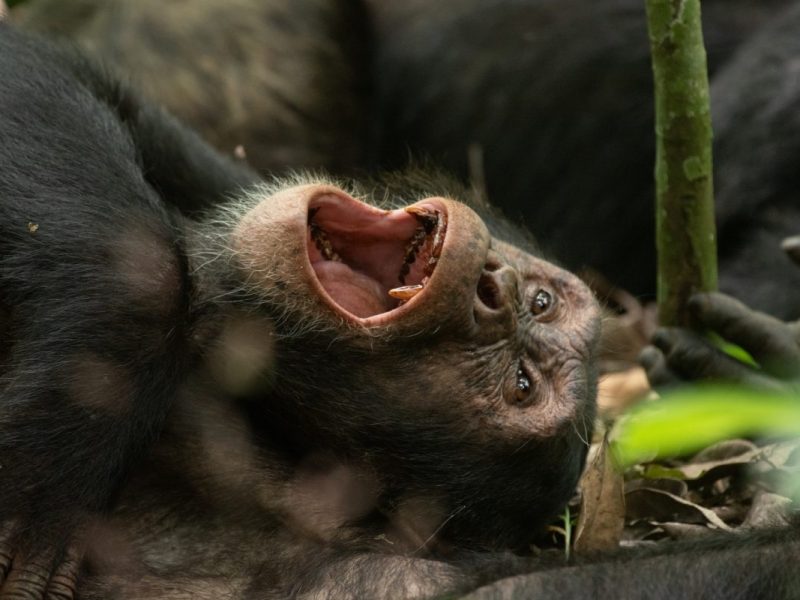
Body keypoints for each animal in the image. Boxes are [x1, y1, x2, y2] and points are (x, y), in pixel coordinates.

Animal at [1, 16, 800, 600]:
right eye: (542, 303)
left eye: (519, 384)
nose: (496, 289)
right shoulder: (212, 176)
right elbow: (62, 79)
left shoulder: (387, 579)